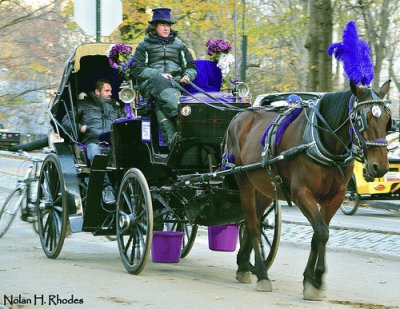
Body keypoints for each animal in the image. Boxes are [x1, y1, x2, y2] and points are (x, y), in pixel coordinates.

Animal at [225, 80, 390, 298]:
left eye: (387, 119)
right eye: (361, 119)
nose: (381, 167)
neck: (322, 144)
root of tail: (239, 116)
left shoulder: (335, 198)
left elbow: (318, 234)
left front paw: (310, 279)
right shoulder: (301, 194)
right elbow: (321, 231)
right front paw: (317, 278)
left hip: (264, 188)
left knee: (254, 221)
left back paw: (243, 264)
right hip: (244, 182)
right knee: (252, 225)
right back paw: (261, 274)